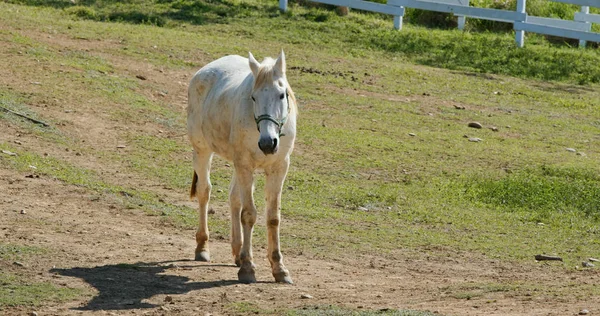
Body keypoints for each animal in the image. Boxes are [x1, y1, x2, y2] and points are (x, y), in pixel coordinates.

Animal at [188, 51, 296, 284]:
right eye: (253, 97)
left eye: (282, 95)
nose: (268, 143)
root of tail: (204, 71)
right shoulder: (245, 166)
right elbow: (249, 214)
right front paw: (248, 268)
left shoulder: (279, 167)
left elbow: (273, 217)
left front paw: (279, 269)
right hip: (202, 150)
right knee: (204, 192)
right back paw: (202, 247)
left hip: (237, 165)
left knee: (233, 198)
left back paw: (237, 252)